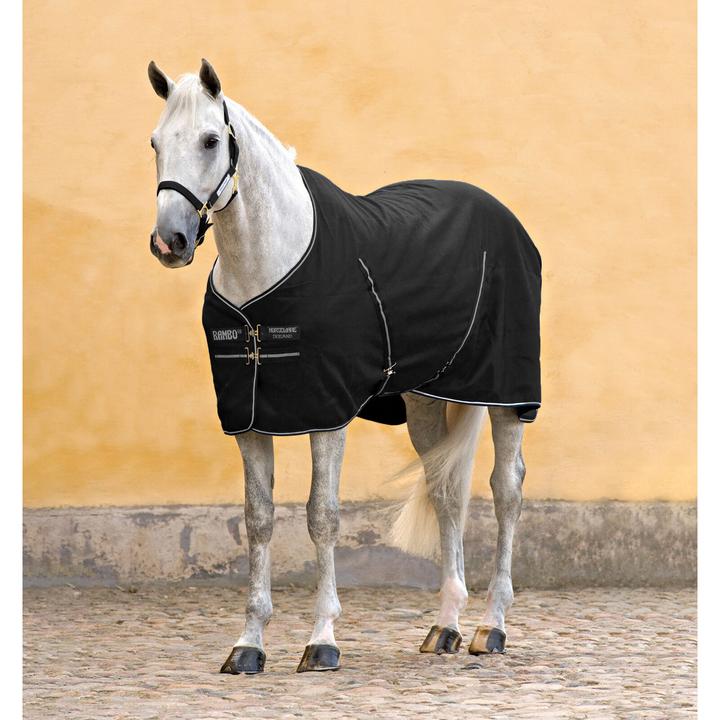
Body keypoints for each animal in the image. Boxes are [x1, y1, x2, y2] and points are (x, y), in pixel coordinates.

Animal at [147, 59, 540, 675]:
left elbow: (322, 515)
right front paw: (248, 644)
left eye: (211, 140)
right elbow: (258, 519)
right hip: (425, 400)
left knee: (507, 490)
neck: (267, 268)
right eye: (156, 143)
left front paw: (322, 639)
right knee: (446, 490)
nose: (170, 241)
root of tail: (499, 211)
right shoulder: (248, 419)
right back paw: (445, 627)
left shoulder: (327, 412)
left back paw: (491, 626)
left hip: (506, 394)